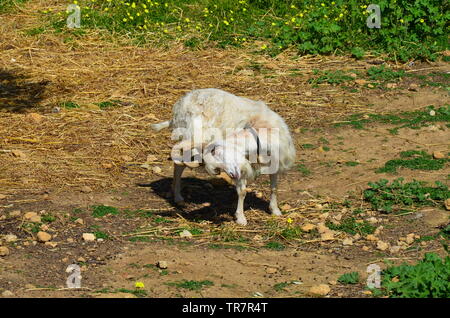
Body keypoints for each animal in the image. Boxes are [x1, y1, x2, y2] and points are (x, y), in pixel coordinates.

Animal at [151, 88, 296, 225]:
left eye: (221, 154)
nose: (232, 175)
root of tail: (179, 107)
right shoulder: (243, 167)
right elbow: (242, 192)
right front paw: (240, 218)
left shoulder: (275, 162)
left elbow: (274, 188)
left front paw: (275, 210)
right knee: (179, 166)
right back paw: (178, 197)